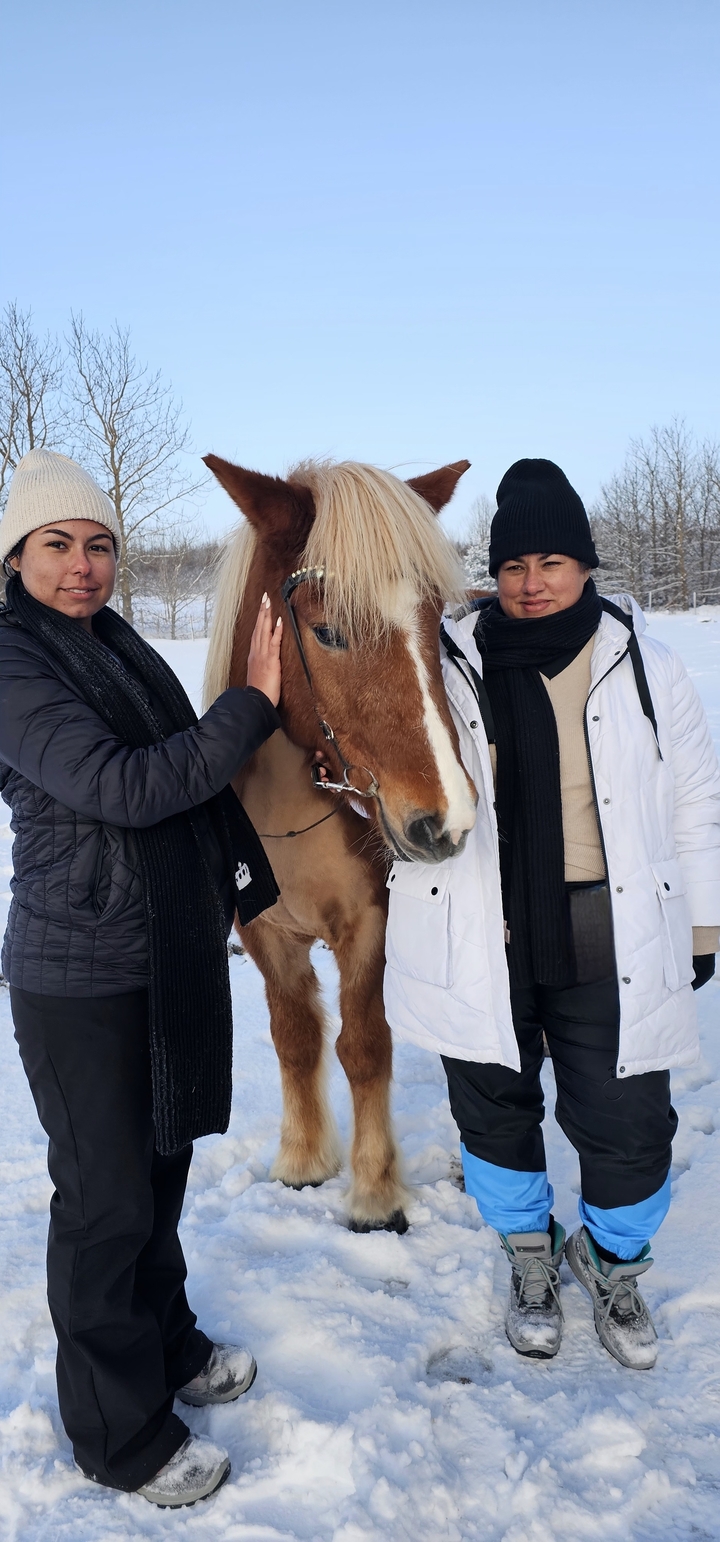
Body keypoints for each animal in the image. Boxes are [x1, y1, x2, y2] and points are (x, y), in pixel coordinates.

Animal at [203, 455, 477, 1233]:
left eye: (433, 621)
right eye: (326, 633)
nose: (445, 821)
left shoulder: (369, 927)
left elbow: (364, 1045)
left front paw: (375, 1194)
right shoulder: (264, 931)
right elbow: (295, 1037)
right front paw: (301, 1163)